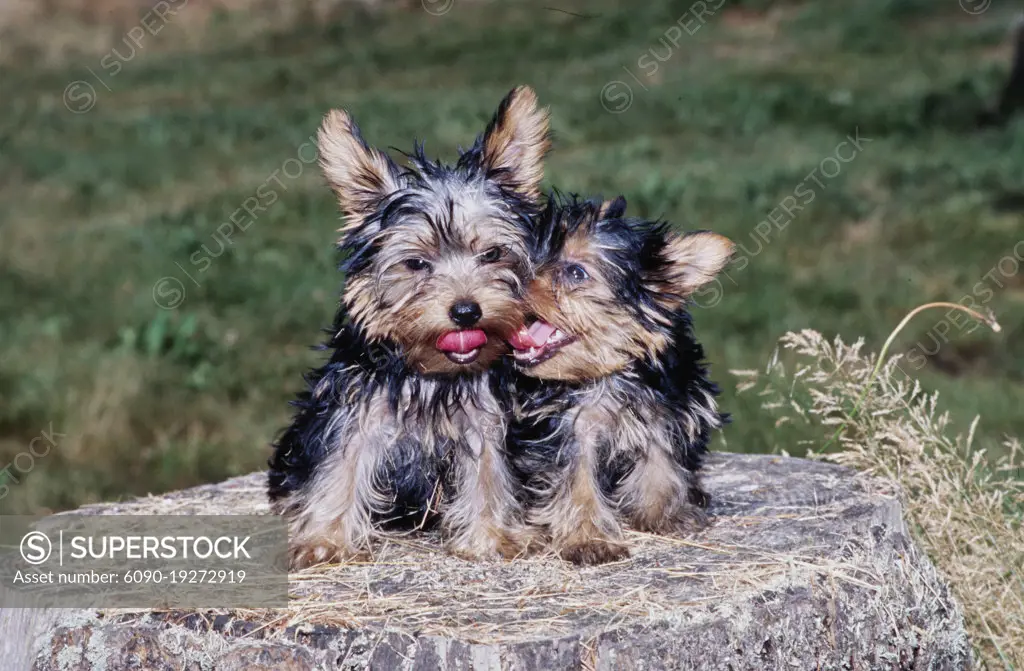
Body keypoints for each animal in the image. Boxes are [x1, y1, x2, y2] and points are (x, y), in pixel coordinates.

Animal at [268, 85, 548, 565]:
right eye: (416, 263)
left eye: (492, 254)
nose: (466, 311)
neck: (432, 375)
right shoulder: (355, 406)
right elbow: (340, 466)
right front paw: (326, 538)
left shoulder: (487, 414)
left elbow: (489, 468)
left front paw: (492, 534)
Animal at [507, 194, 733, 565]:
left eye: (575, 272)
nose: (511, 279)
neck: (611, 372)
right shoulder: (569, 428)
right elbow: (579, 480)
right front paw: (588, 538)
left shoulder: (666, 411)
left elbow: (661, 463)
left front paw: (663, 513)